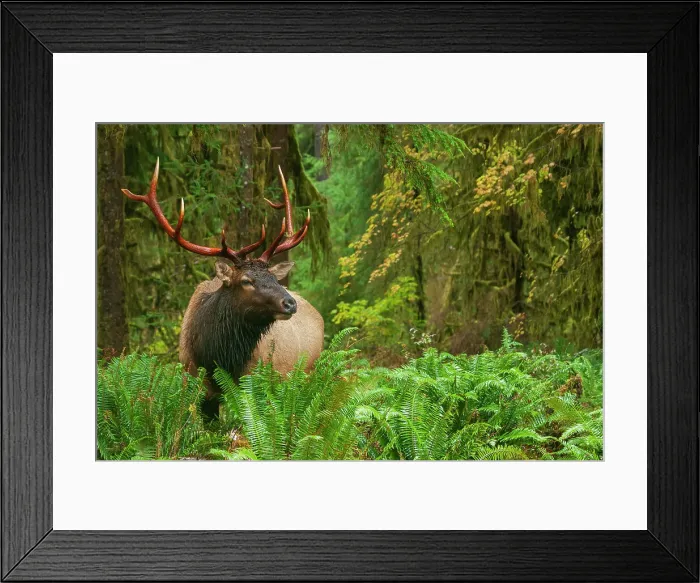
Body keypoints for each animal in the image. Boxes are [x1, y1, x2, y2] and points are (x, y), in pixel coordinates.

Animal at [122, 159, 324, 417]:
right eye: (246, 280)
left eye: (274, 278)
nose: (290, 303)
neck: (216, 356)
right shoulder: (195, 385)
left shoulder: (253, 384)